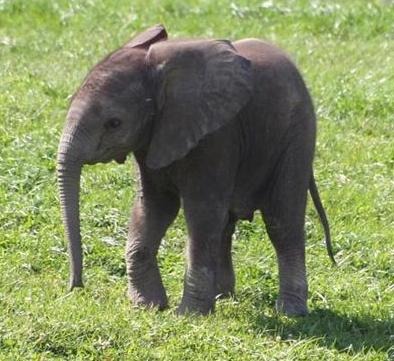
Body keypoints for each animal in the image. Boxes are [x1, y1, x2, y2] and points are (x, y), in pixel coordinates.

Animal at [57, 23, 336, 314]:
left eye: (114, 123)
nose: (76, 286)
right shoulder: (154, 137)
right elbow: (154, 207)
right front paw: (148, 306)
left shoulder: (216, 135)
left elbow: (202, 212)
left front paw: (188, 315)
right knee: (226, 225)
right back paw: (223, 297)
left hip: (296, 136)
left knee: (281, 221)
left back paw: (290, 311)